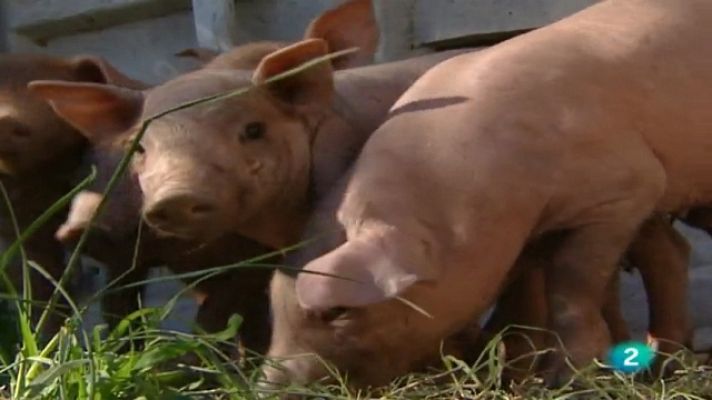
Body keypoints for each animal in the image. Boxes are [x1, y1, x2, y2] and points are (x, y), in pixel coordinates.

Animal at [262, 0, 712, 388]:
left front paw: (562, 380)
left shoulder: (625, 190)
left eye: (334, 312)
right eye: (275, 303)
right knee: (673, 252)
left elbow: (572, 282)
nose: (267, 386)